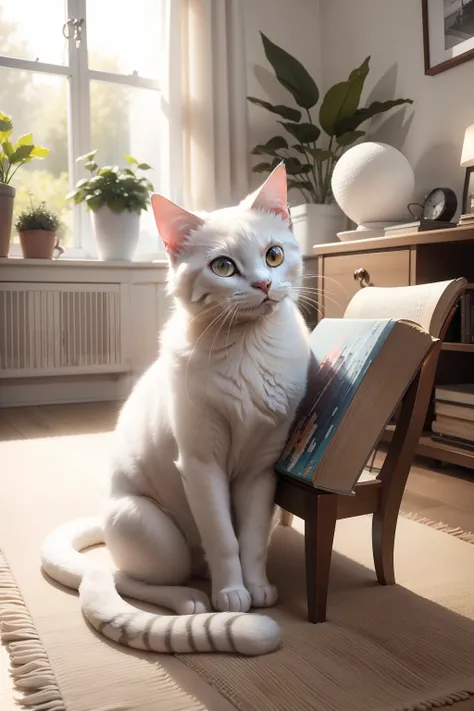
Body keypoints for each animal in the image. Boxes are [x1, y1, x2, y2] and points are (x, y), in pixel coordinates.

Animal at [40, 164, 312, 660]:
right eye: (224, 266)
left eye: (274, 255)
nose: (263, 284)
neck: (249, 351)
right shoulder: (202, 464)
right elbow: (224, 538)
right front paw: (233, 596)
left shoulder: (260, 469)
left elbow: (251, 541)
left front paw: (257, 587)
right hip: (152, 530)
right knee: (121, 575)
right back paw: (192, 599)